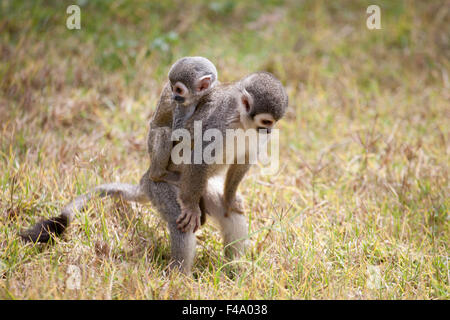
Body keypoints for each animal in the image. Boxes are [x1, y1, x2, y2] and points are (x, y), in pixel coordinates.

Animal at [148, 56, 218, 184]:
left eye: (179, 90)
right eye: (172, 88)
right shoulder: (181, 105)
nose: (173, 97)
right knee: (165, 131)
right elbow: (179, 133)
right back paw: (158, 174)